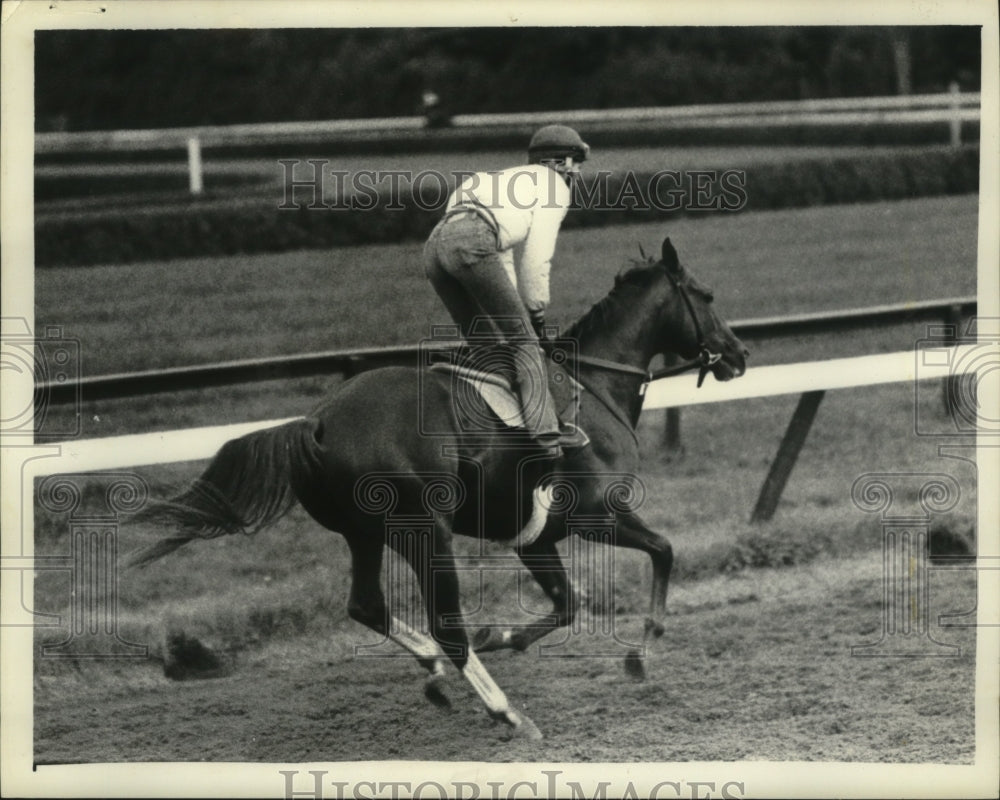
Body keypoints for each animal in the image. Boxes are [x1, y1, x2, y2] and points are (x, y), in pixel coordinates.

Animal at [131, 234, 744, 740]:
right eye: (708, 294)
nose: (738, 355)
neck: (592, 386)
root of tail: (317, 422)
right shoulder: (598, 517)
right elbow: (663, 551)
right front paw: (642, 649)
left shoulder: (536, 537)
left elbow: (570, 603)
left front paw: (504, 636)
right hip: (427, 532)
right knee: (445, 625)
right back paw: (505, 711)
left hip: (365, 533)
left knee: (366, 605)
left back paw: (435, 670)